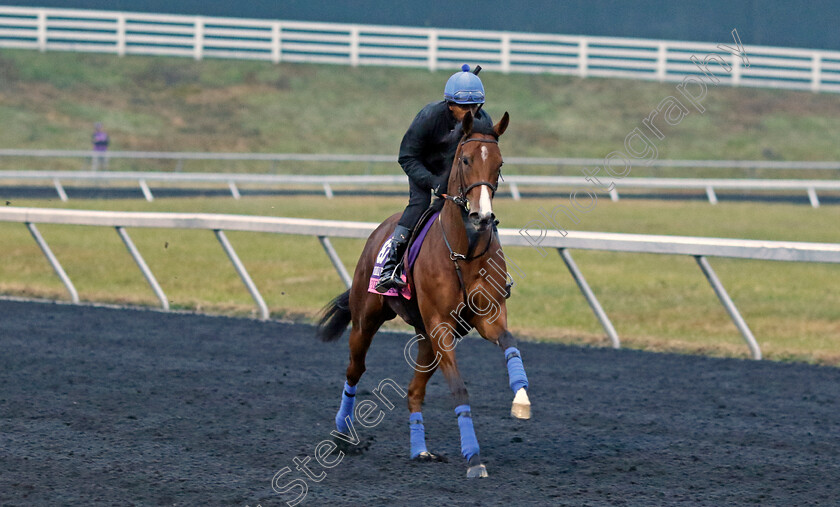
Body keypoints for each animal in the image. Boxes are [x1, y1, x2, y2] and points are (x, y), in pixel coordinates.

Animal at [318, 111, 528, 480]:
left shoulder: (485, 317)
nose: (482, 216)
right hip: (366, 321)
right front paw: (474, 457)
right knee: (354, 371)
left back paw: (420, 450)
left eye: (499, 163)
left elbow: (510, 343)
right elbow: (459, 388)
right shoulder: (440, 325)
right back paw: (341, 435)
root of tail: (380, 231)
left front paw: (521, 399)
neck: (464, 250)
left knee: (413, 391)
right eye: (465, 159)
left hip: (426, 338)